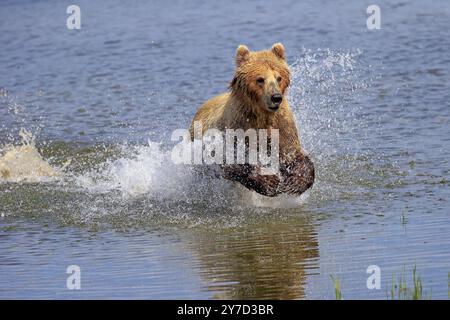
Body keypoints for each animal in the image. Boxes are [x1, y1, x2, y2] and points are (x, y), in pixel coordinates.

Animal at [189, 43, 312, 198]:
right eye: (260, 79)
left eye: (279, 77)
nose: (276, 97)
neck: (262, 115)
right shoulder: (239, 125)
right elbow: (232, 160)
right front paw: (269, 181)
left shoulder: (283, 126)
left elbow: (293, 154)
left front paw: (294, 183)